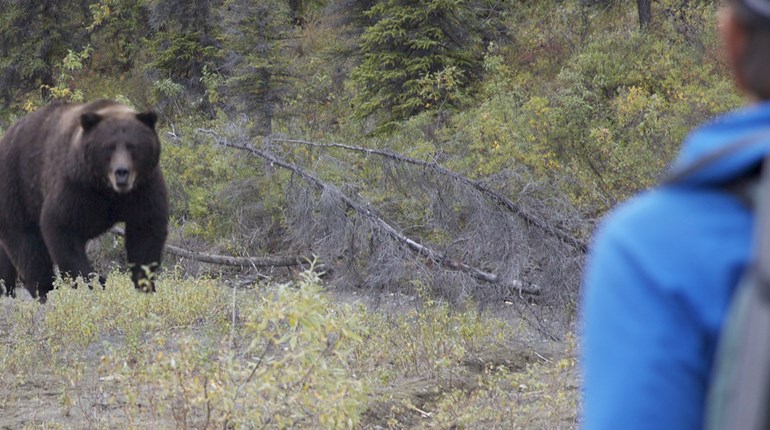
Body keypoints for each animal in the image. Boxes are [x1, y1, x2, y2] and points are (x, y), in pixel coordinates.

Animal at [0, 99, 168, 301]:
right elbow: (62, 228)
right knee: (26, 243)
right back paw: (43, 289)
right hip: (18, 186)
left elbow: (146, 230)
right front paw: (93, 282)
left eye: (133, 146)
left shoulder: (143, 188)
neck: (107, 190)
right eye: (109, 146)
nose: (122, 172)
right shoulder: (75, 185)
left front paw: (144, 284)